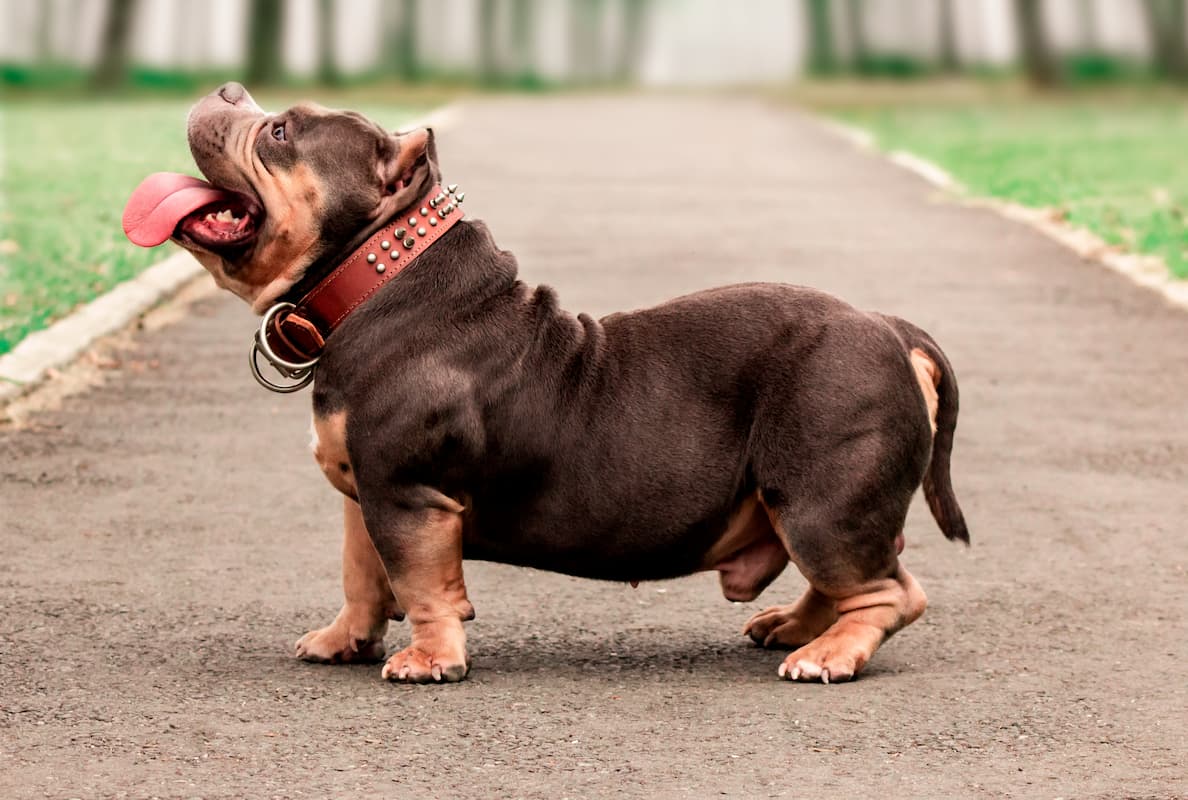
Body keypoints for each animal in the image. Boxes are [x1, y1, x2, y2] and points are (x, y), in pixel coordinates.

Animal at [125, 82, 969, 684]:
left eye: (280, 132)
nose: (229, 87)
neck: (379, 275)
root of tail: (890, 327)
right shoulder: (366, 496)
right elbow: (361, 574)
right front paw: (343, 640)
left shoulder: (407, 497)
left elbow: (420, 583)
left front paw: (431, 660)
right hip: (801, 504)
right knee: (852, 576)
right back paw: (796, 626)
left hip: (819, 497)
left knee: (890, 589)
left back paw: (828, 654)